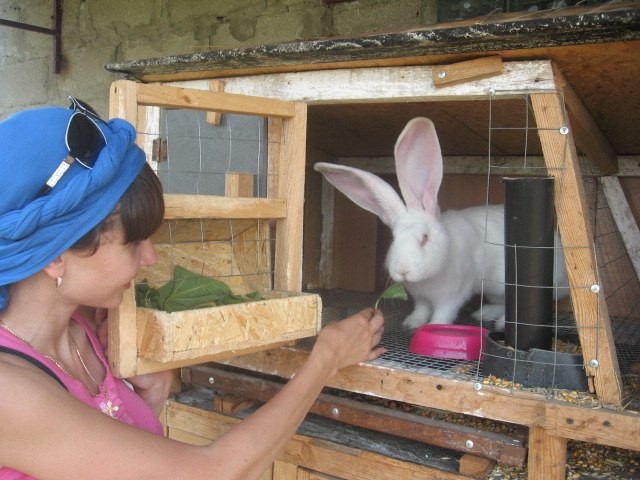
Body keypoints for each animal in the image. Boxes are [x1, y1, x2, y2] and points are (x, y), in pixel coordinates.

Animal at [312, 118, 568, 332]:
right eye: (394, 239)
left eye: (425, 238)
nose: (403, 270)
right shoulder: (422, 298)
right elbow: (421, 309)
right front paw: (412, 323)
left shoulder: (452, 296)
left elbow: (443, 314)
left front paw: (433, 326)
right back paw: (484, 314)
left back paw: (501, 323)